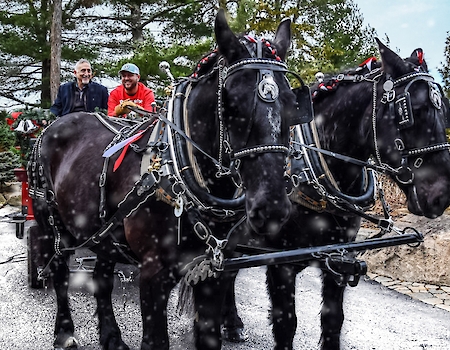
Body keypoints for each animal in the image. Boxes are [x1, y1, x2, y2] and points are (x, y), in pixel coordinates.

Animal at [29, 10, 296, 350]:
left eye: (292, 103)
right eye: (232, 103)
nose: (272, 207)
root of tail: (54, 125)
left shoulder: (214, 271)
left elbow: (209, 335)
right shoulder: (154, 273)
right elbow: (156, 340)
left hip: (102, 231)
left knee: (102, 279)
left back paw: (111, 336)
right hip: (53, 223)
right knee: (60, 272)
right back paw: (64, 332)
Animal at [223, 40, 450, 348]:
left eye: (444, 110)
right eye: (410, 110)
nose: (443, 195)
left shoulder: (340, 259)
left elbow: (333, 321)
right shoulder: (280, 265)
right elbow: (286, 325)